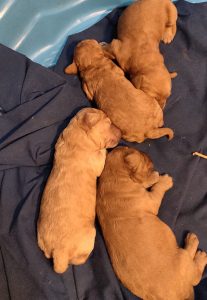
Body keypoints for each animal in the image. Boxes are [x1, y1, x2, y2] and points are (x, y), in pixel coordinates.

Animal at [37, 108, 121, 274]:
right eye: (108, 123)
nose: (121, 132)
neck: (78, 134)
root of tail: (60, 252)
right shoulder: (96, 163)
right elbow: (101, 154)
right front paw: (104, 150)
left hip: (41, 241)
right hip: (90, 236)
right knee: (78, 260)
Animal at [97, 147, 207, 300]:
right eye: (147, 162)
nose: (152, 160)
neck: (112, 178)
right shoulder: (151, 200)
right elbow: (156, 188)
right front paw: (161, 179)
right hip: (182, 259)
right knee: (195, 275)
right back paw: (196, 248)